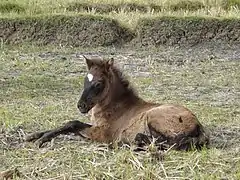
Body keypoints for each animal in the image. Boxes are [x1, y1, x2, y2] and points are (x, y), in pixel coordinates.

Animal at [26, 56, 209, 150]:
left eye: (98, 84)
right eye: (85, 79)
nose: (81, 106)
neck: (116, 106)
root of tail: (198, 125)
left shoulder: (101, 133)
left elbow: (73, 123)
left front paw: (42, 140)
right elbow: (69, 124)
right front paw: (34, 135)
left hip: (153, 117)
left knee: (171, 142)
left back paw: (132, 142)